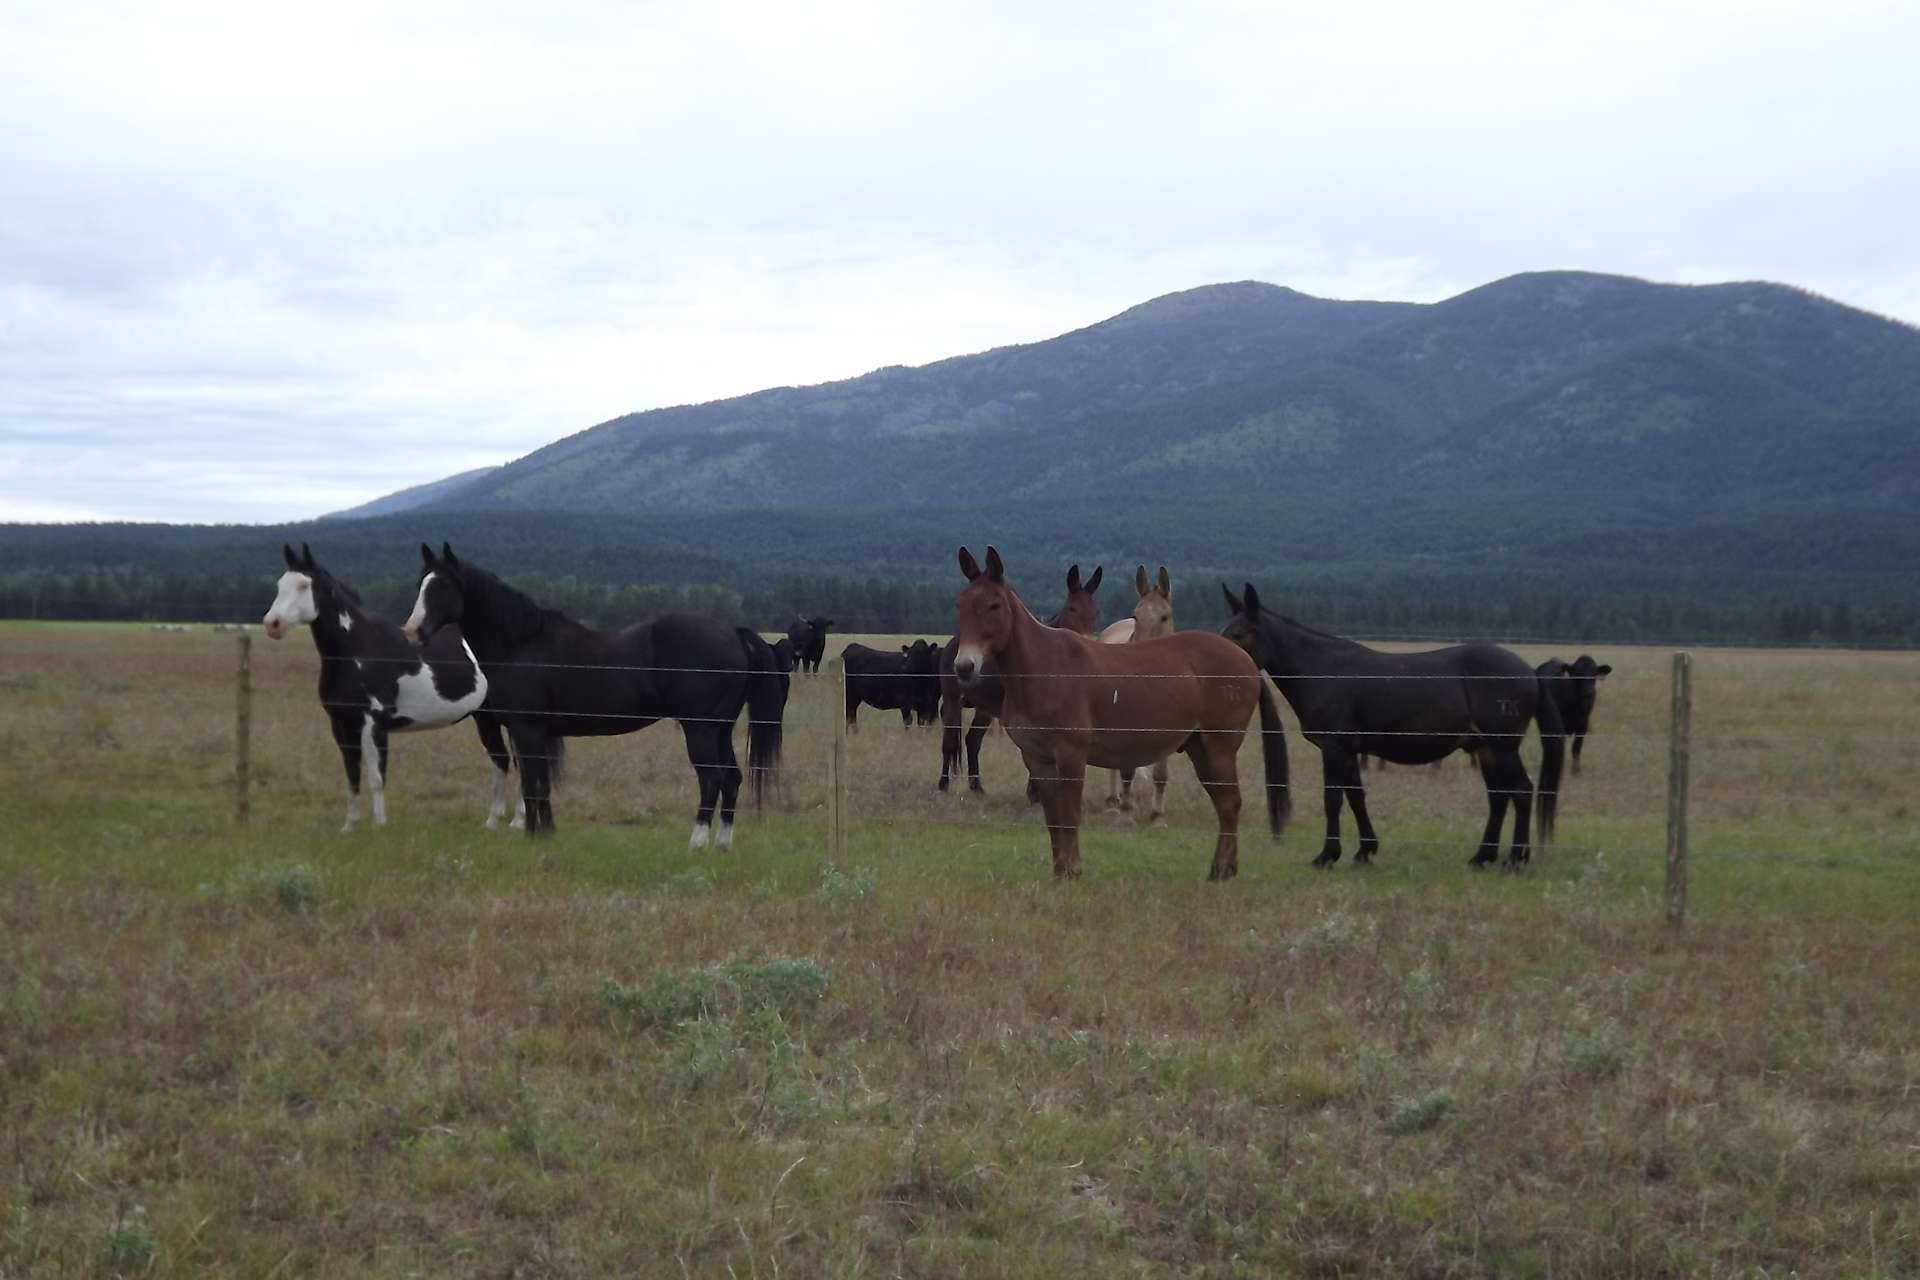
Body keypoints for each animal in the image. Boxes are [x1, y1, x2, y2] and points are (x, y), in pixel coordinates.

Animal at [407, 545, 787, 852]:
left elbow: (533, 783)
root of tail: (732, 632)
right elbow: (541, 784)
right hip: (720, 729)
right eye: (420, 584)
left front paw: (532, 834)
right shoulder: (537, 731)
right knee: (733, 779)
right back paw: (722, 844)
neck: (522, 643)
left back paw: (696, 842)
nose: (413, 632)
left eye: (444, 586)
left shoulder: (526, 728)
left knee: (712, 779)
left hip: (700, 729)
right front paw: (546, 832)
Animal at [1221, 583, 1566, 871]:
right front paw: (1365, 851)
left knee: (1521, 791)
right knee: (1498, 797)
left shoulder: (1334, 748)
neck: (1325, 669)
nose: (1220, 663)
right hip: (1486, 749)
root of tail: (1529, 672)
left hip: (1502, 746)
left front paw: (1327, 855)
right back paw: (1483, 857)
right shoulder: (1349, 751)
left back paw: (1515, 859)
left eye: (1240, 633)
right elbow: (1356, 798)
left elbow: (1333, 800)